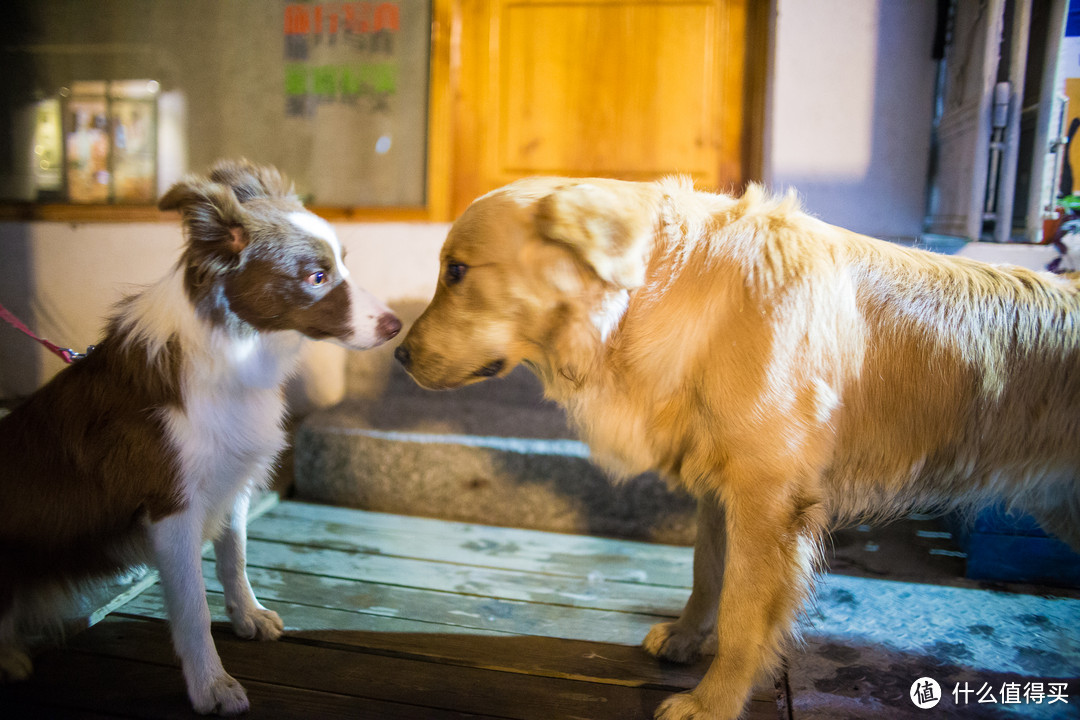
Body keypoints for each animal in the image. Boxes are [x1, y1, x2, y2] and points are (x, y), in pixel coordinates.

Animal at [0, 160, 401, 716]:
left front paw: (247, 616)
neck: (235, 349)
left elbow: (235, 558)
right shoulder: (172, 507)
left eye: (343, 262)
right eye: (316, 277)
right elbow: (191, 606)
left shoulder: (233, 479)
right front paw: (211, 686)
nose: (397, 326)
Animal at [395, 175, 1080, 720]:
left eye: (457, 272)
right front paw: (684, 639)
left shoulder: (767, 497)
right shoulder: (721, 488)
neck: (671, 293)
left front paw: (712, 702)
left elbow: (745, 614)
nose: (398, 354)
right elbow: (707, 575)